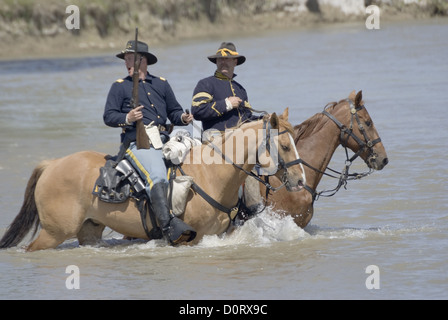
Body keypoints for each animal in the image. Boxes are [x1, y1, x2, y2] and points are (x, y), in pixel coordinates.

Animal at [0, 109, 306, 251]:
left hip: (89, 230)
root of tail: (52, 165)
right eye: (285, 145)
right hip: (53, 233)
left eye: (296, 140)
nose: (300, 181)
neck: (212, 174)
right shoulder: (192, 240)